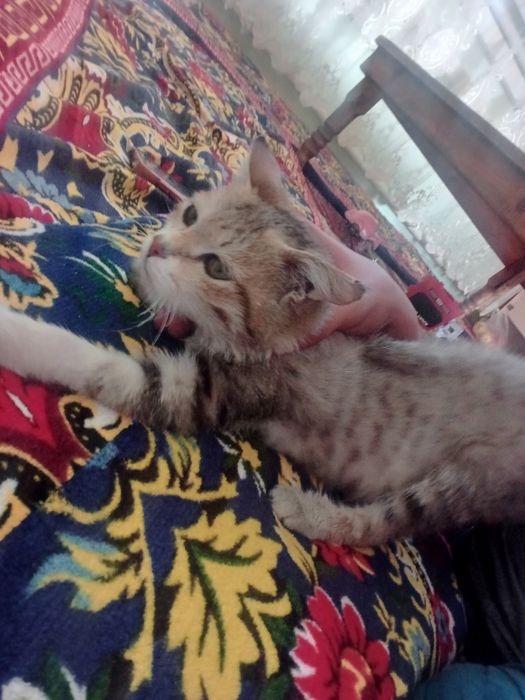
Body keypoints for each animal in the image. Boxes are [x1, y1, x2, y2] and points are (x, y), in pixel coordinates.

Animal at [1, 137, 525, 547]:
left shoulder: (209, 392)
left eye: (216, 267)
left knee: (387, 524)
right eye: (190, 212)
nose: (157, 247)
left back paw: (312, 512)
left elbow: (104, 367)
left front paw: (18, 334)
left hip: (469, 479)